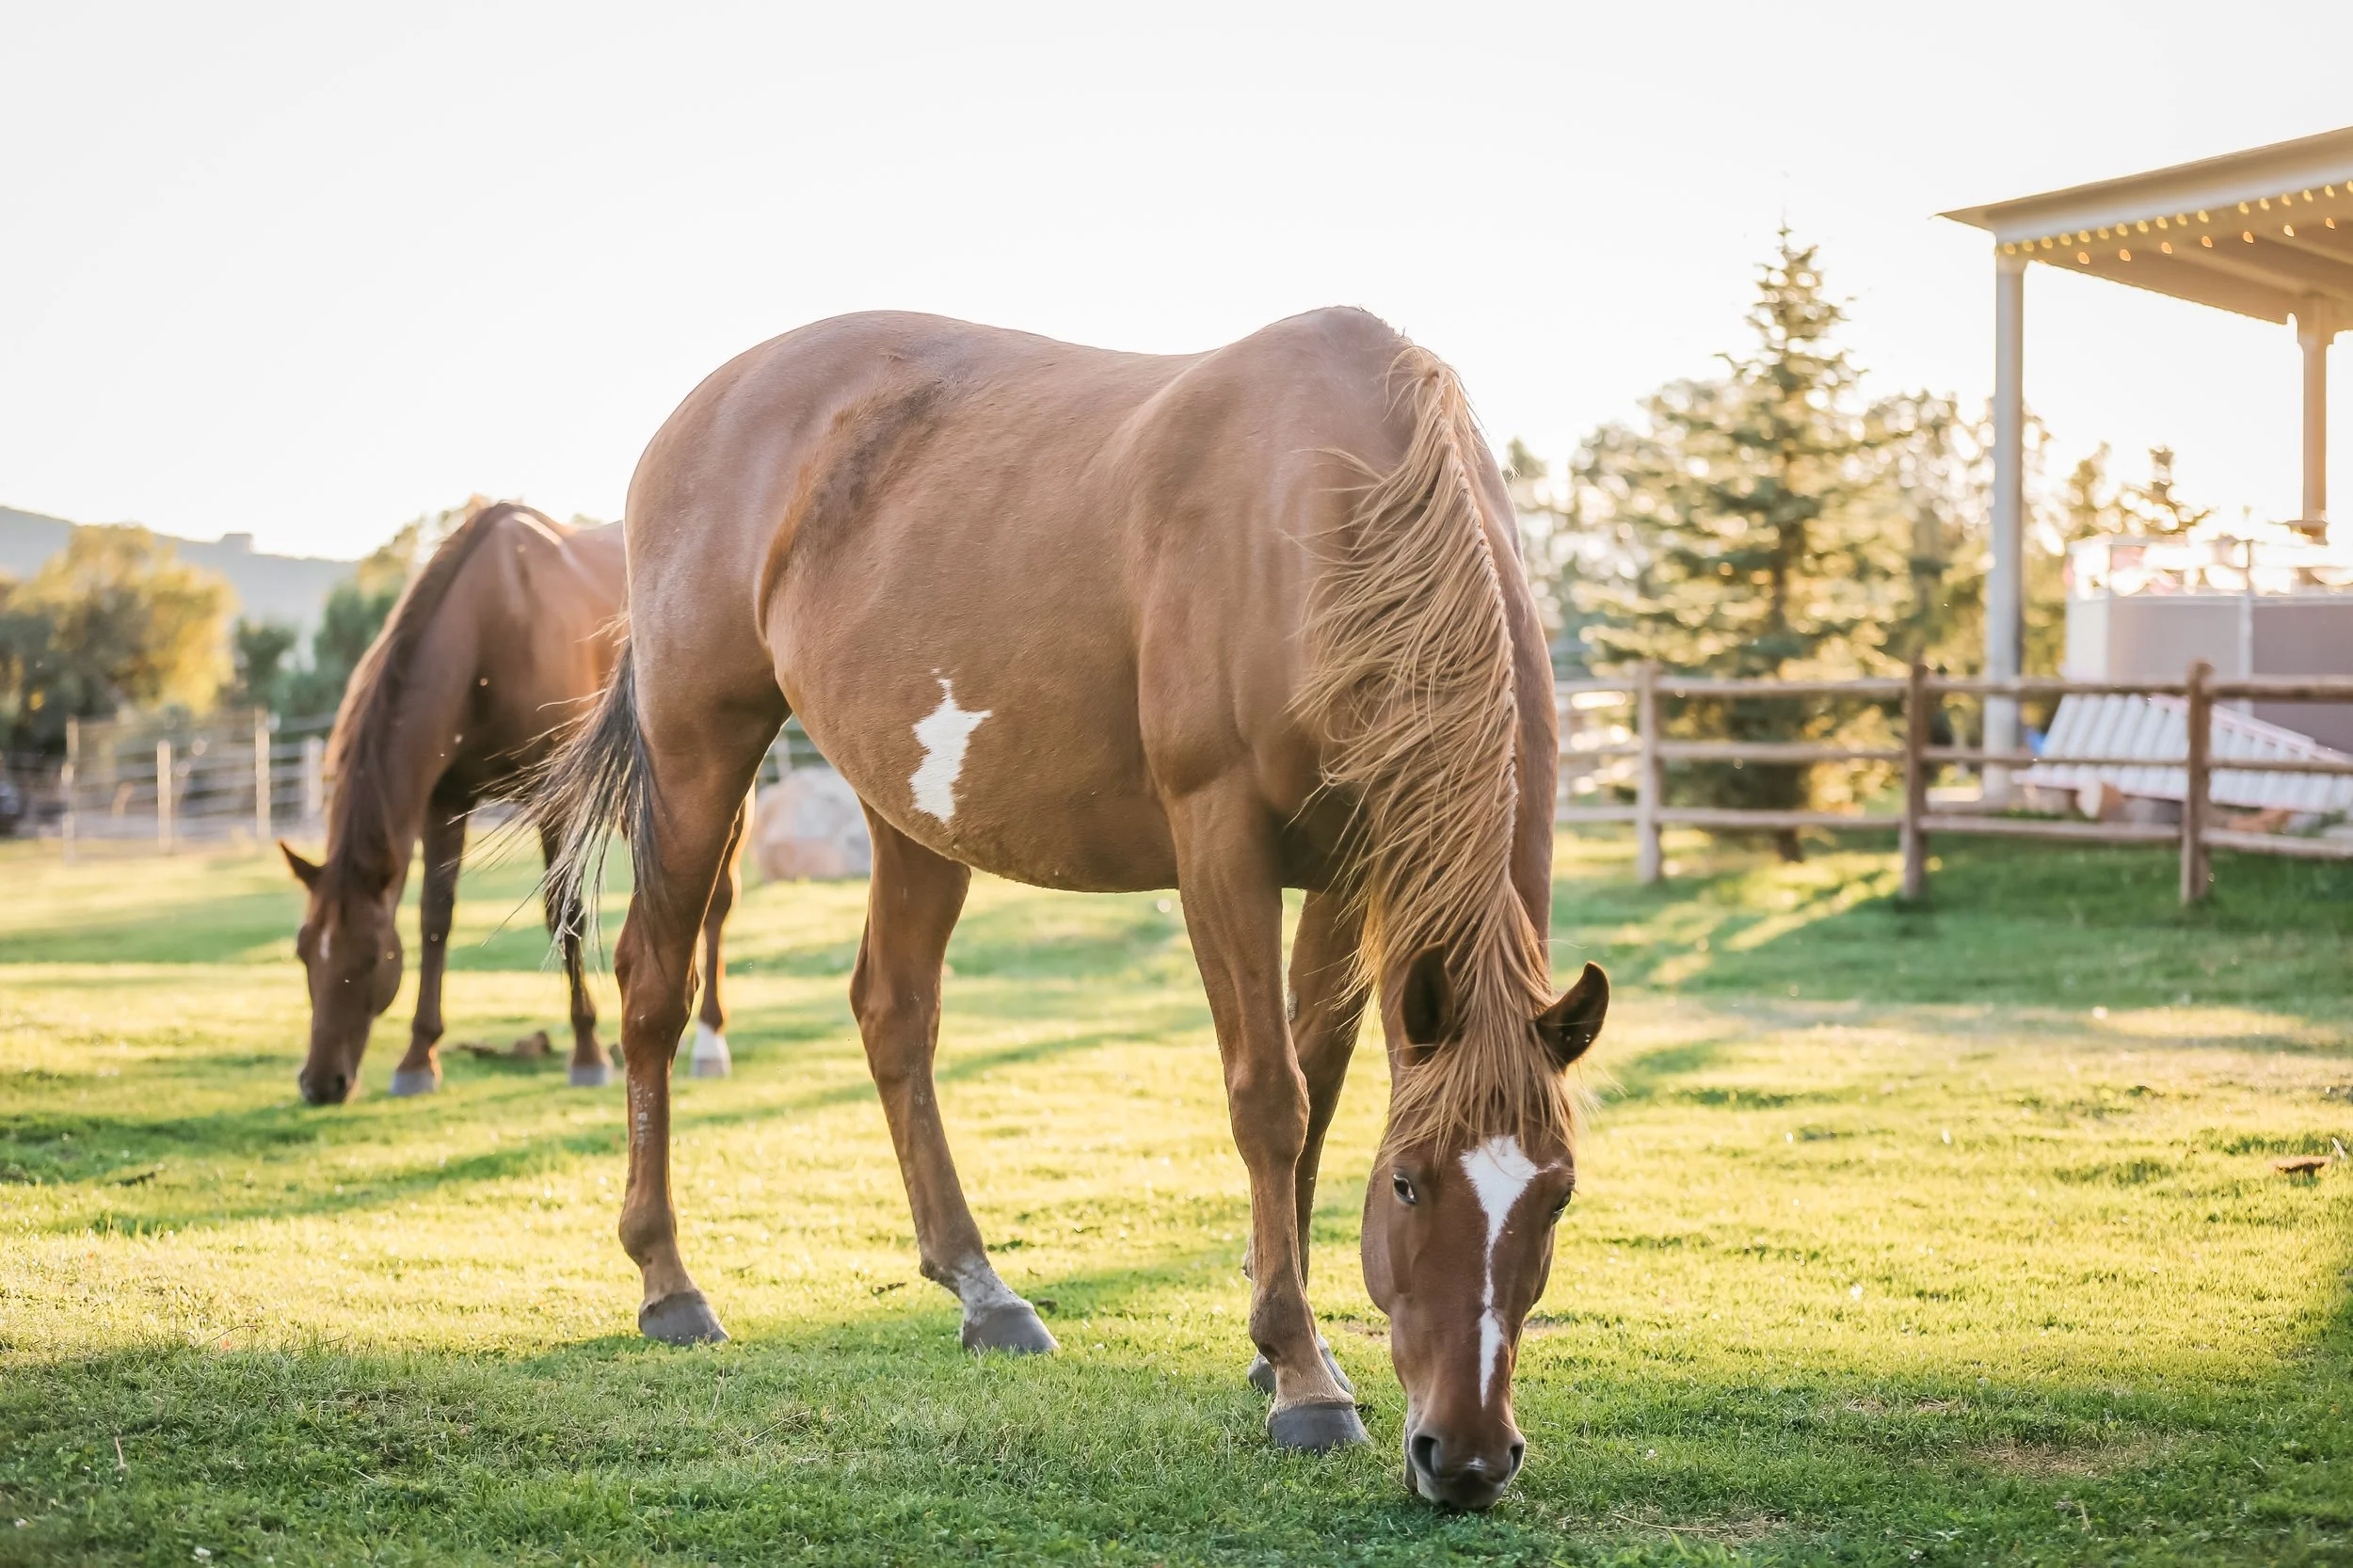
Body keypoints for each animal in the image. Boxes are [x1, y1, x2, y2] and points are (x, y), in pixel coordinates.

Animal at [281, 501, 745, 1106]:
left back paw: (710, 1041)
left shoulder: (557, 805)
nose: (320, 1083)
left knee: (718, 901)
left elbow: (564, 914)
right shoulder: (443, 804)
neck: (491, 624)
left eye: (370, 956)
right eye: (303, 951)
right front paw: (418, 1057)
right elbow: (436, 919)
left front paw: (587, 1051)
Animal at [533, 309, 1608, 1511]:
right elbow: (1268, 1099)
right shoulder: (1219, 841)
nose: (1464, 1456)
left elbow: (1321, 1092)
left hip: (909, 812)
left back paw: (983, 1291)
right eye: (1412, 1186)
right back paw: (668, 1281)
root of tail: (702, 408)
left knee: (893, 1013)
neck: (1331, 508)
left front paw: (1280, 1342)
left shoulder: (1348, 860)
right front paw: (1300, 1377)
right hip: (697, 747)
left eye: (1557, 1198)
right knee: (654, 991)